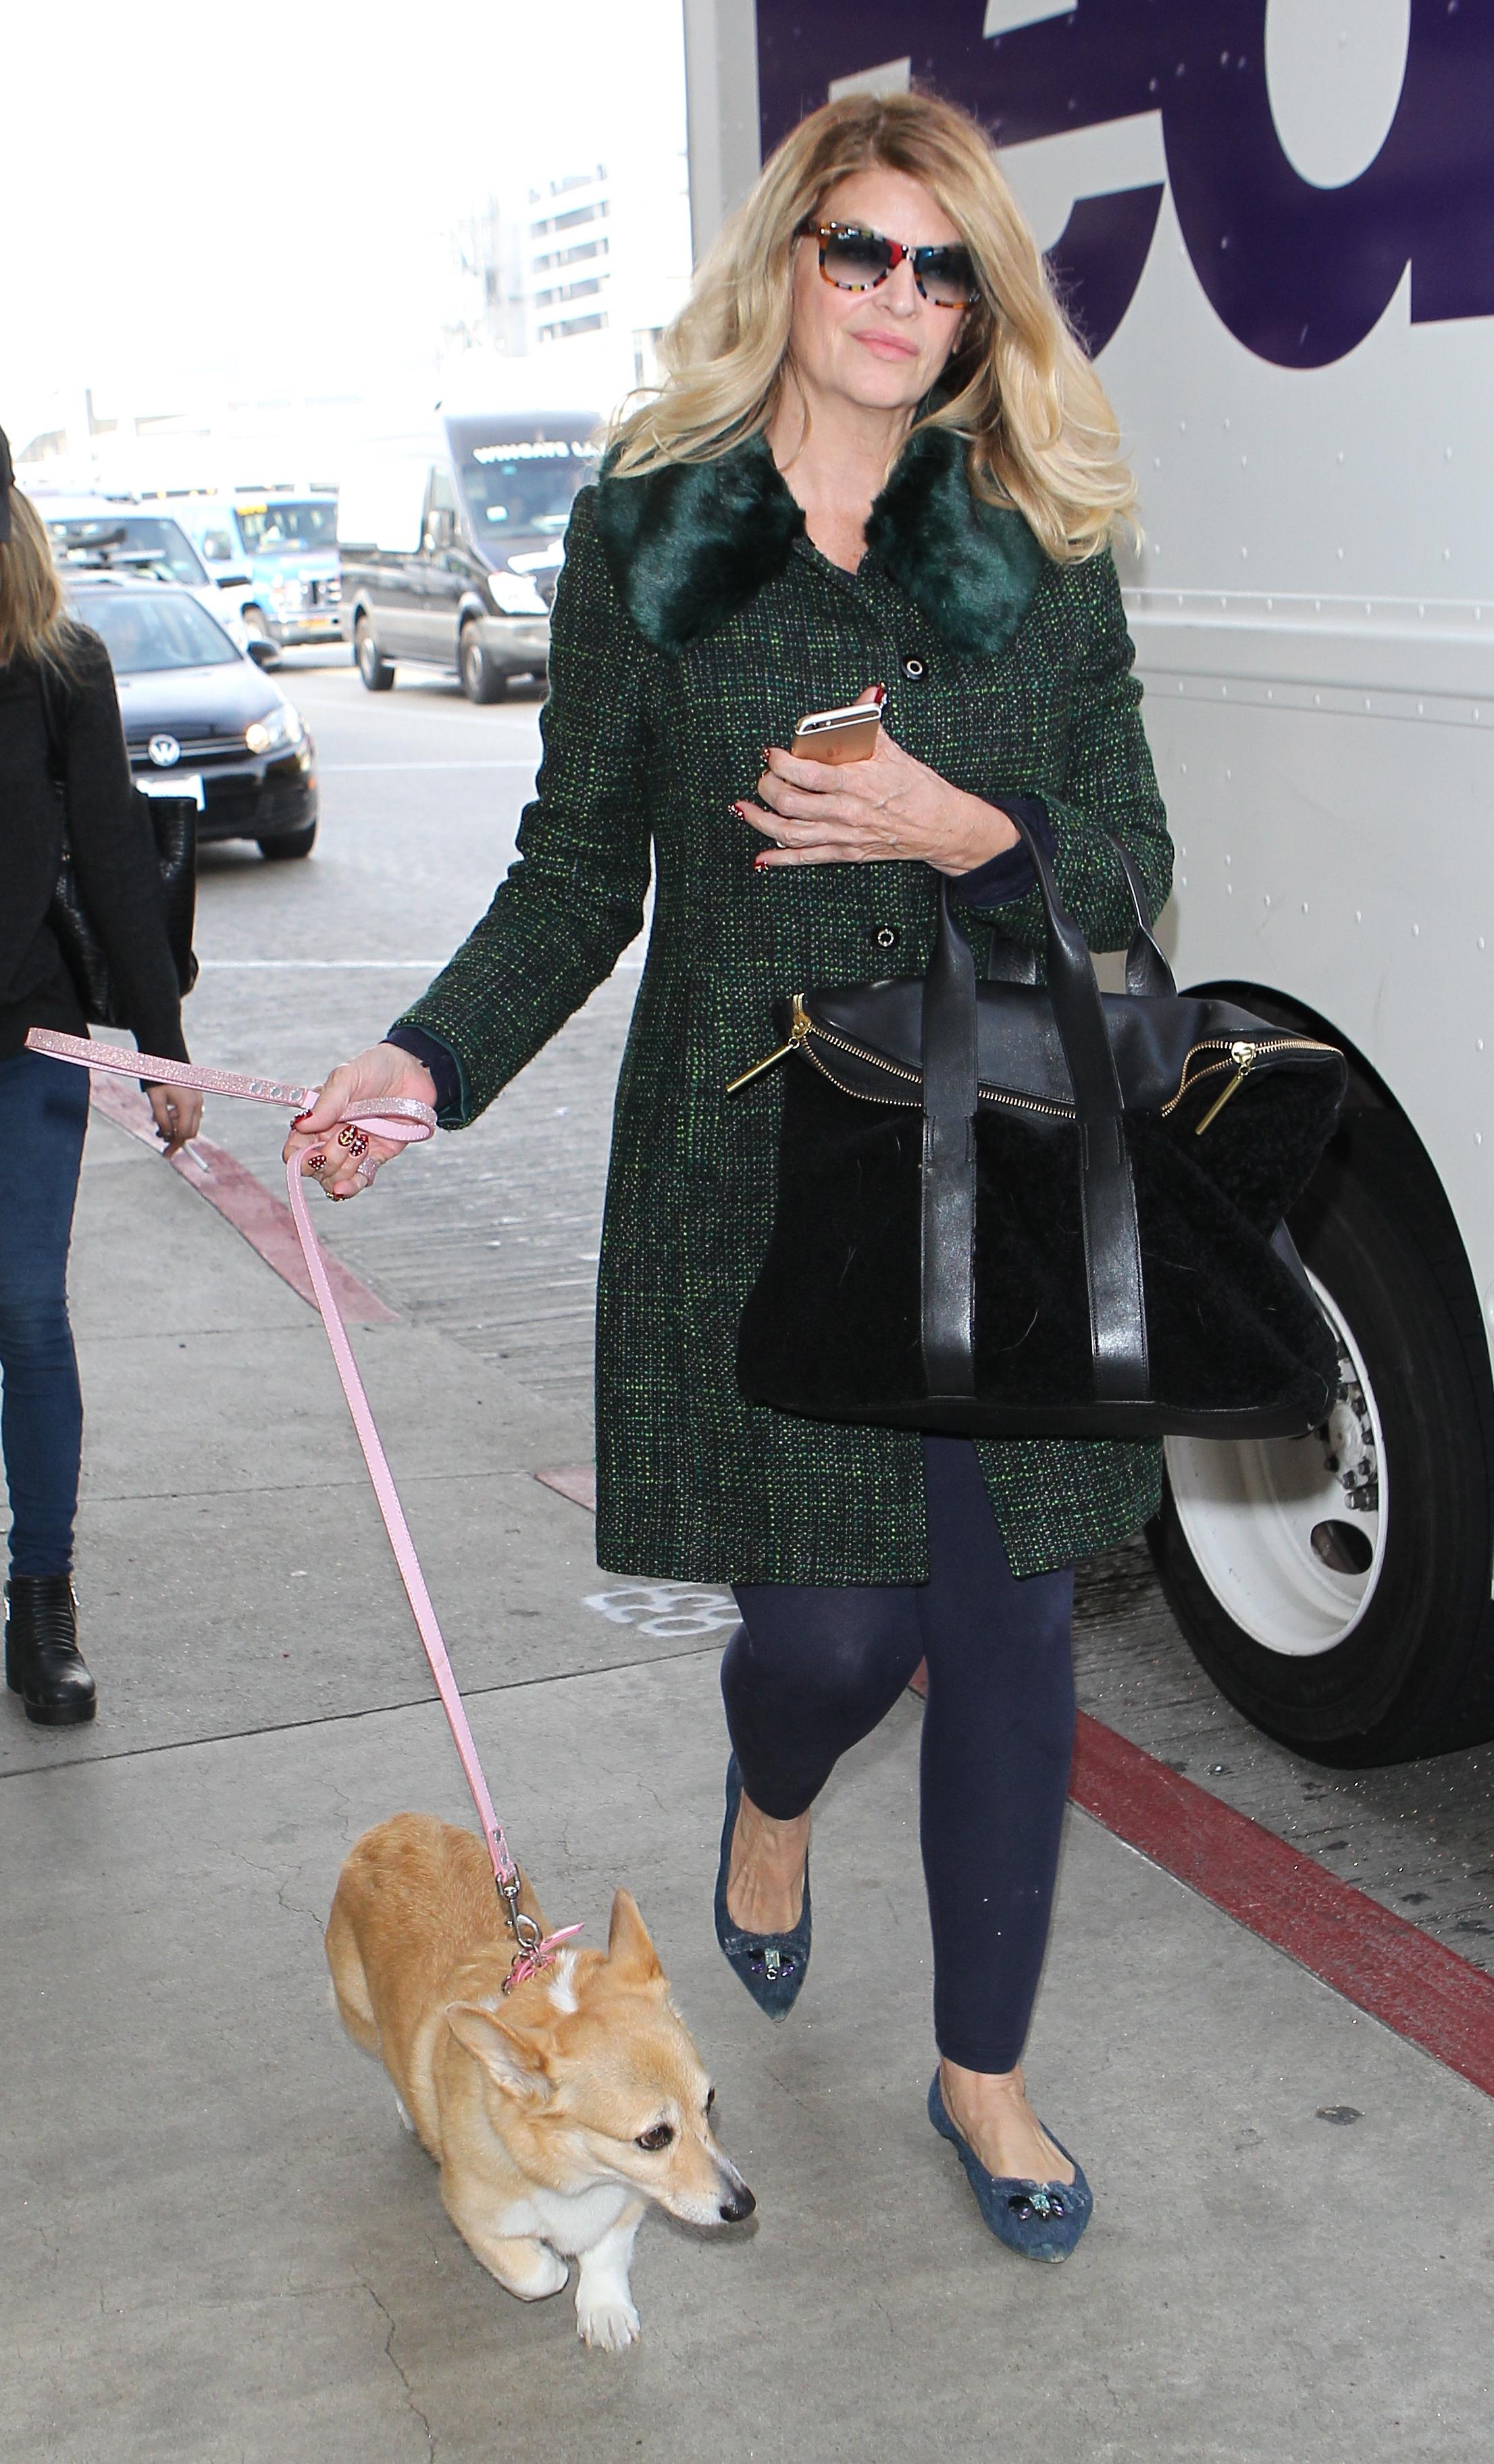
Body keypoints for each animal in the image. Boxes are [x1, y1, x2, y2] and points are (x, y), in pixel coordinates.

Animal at [322, 1813, 753, 2345]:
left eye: (709, 2101)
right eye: (655, 2136)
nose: (744, 2205)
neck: (577, 2171)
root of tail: (395, 1824)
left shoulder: (628, 2199)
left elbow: (607, 2250)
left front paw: (604, 2308)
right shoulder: (473, 2217)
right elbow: (540, 2274)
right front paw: (556, 2262)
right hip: (357, 2013)